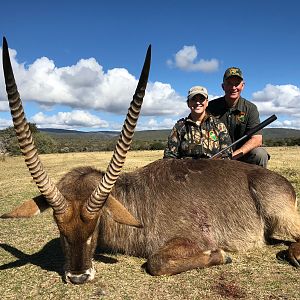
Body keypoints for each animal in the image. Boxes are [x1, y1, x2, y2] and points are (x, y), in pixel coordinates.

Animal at [1, 36, 300, 284]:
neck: (134, 199)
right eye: (58, 226)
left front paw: (221, 255)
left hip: (281, 216)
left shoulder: (190, 239)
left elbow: (156, 262)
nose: (78, 277)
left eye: (95, 224)